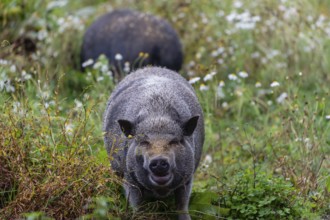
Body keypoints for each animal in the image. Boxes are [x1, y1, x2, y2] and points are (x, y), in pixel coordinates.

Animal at [104, 66, 205, 218]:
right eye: (143, 142)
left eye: (174, 141)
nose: (159, 161)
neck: (158, 117)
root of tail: (150, 67)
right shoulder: (129, 177)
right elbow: (137, 204)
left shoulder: (188, 177)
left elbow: (182, 203)